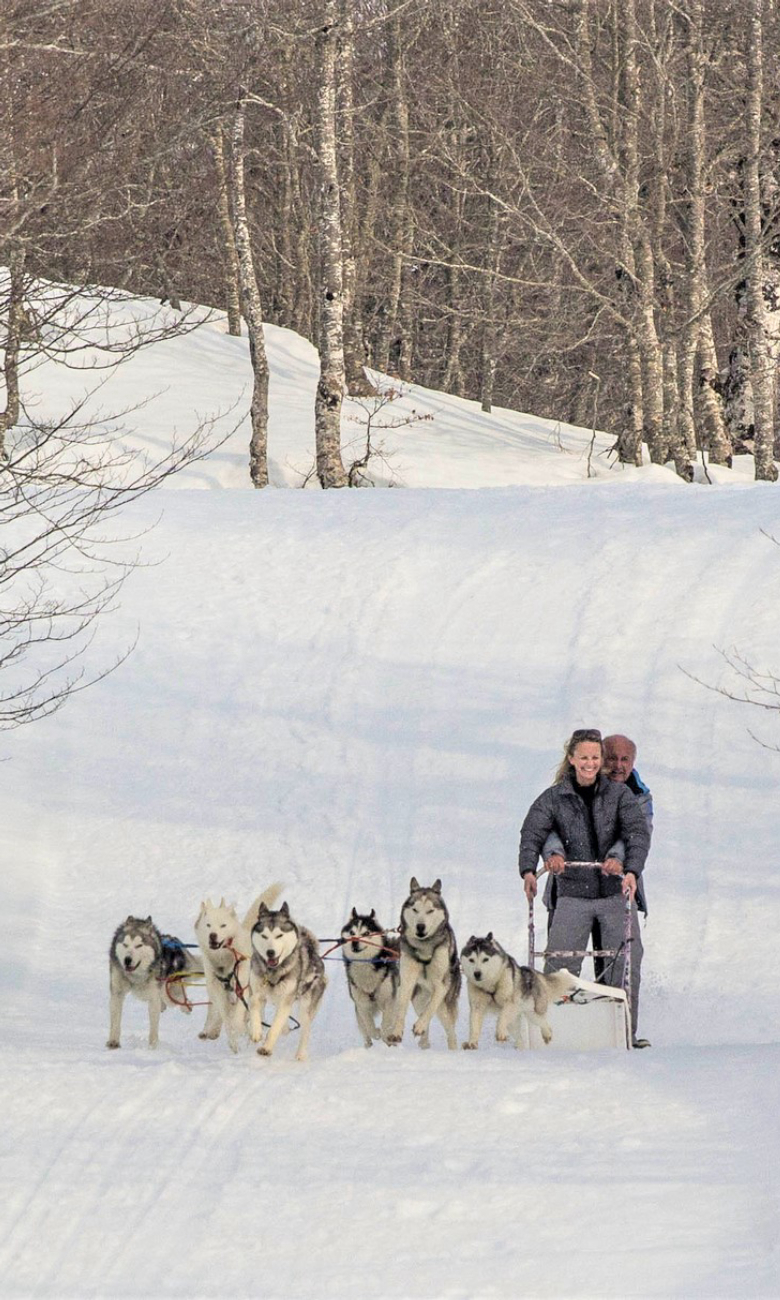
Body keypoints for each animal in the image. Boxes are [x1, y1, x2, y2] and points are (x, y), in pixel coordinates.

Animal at [106, 909, 204, 1050]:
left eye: (139, 945)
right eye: (125, 944)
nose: (127, 960)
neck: (136, 976)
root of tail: (177, 943)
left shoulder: (153, 997)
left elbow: (153, 1026)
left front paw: (153, 1047)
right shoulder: (117, 992)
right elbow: (115, 1019)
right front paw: (113, 1042)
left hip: (169, 992)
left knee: (177, 999)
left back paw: (187, 1006)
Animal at [195, 883, 283, 1055]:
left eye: (223, 925)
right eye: (208, 925)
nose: (213, 935)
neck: (224, 960)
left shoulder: (243, 986)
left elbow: (238, 1017)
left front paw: (241, 1029)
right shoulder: (218, 989)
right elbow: (225, 1016)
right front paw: (232, 1039)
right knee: (214, 1010)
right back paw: (211, 1029)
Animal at [246, 899, 326, 1060]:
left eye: (279, 935)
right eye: (264, 936)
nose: (270, 952)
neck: (273, 971)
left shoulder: (286, 999)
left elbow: (275, 1027)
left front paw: (266, 1048)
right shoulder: (256, 991)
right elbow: (254, 1007)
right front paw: (256, 1031)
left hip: (305, 1006)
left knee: (305, 1029)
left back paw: (300, 1055)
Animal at [340, 909, 403, 1050]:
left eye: (366, 933)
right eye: (352, 933)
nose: (354, 941)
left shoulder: (389, 1000)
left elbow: (386, 1024)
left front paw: (385, 1033)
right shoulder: (362, 1005)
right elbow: (370, 1027)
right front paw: (376, 1032)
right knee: (365, 1032)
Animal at [387, 878, 460, 1050]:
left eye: (430, 911)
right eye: (415, 909)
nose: (420, 926)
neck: (424, 947)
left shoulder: (441, 986)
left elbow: (430, 1008)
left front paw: (419, 1026)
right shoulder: (406, 982)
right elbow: (401, 1009)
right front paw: (397, 1032)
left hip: (444, 1005)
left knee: (449, 1028)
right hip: (418, 999)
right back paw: (424, 1043)